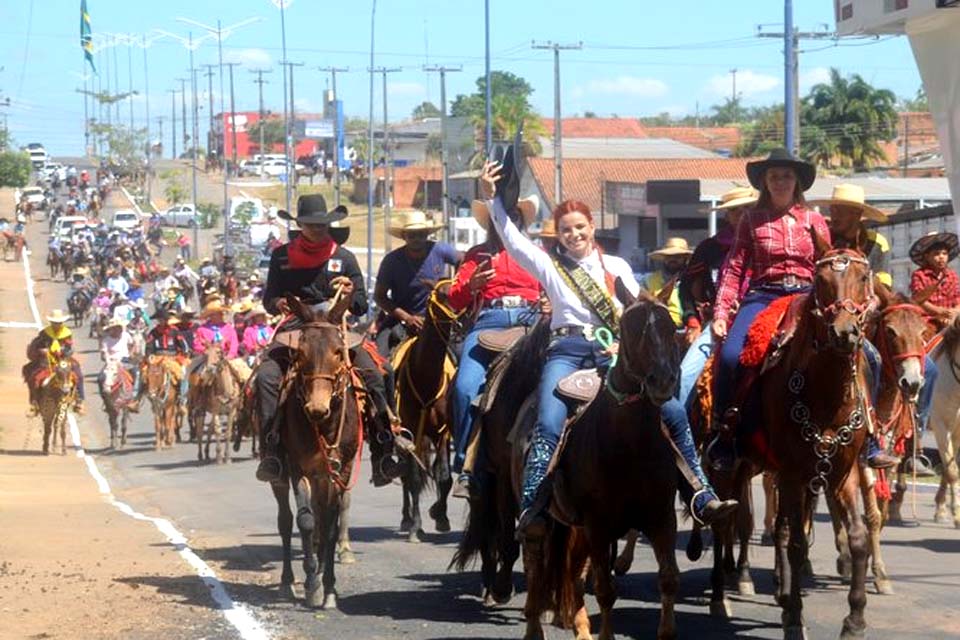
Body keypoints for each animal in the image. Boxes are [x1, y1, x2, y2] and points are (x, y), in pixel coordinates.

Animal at [268, 292, 362, 608]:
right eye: (300, 352)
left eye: (338, 351)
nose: (317, 408)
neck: (324, 425)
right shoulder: (299, 468)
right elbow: (306, 521)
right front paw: (311, 584)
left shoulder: (339, 471)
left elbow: (329, 525)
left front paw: (329, 587)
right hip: (281, 474)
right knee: (286, 521)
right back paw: (288, 582)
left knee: (323, 520)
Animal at [394, 282, 462, 544]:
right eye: (442, 295)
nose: (460, 324)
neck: (426, 378)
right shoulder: (412, 431)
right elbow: (413, 478)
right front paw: (415, 526)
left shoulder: (443, 432)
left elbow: (443, 475)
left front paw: (440, 516)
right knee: (405, 473)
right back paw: (406, 518)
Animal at [516, 286, 684, 640]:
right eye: (631, 328)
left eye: (670, 327)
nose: (663, 380)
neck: (631, 446)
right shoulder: (599, 525)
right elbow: (606, 591)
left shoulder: (662, 518)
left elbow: (668, 579)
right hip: (543, 519)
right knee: (536, 564)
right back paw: (534, 626)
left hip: (575, 528)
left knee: (572, 574)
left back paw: (580, 628)